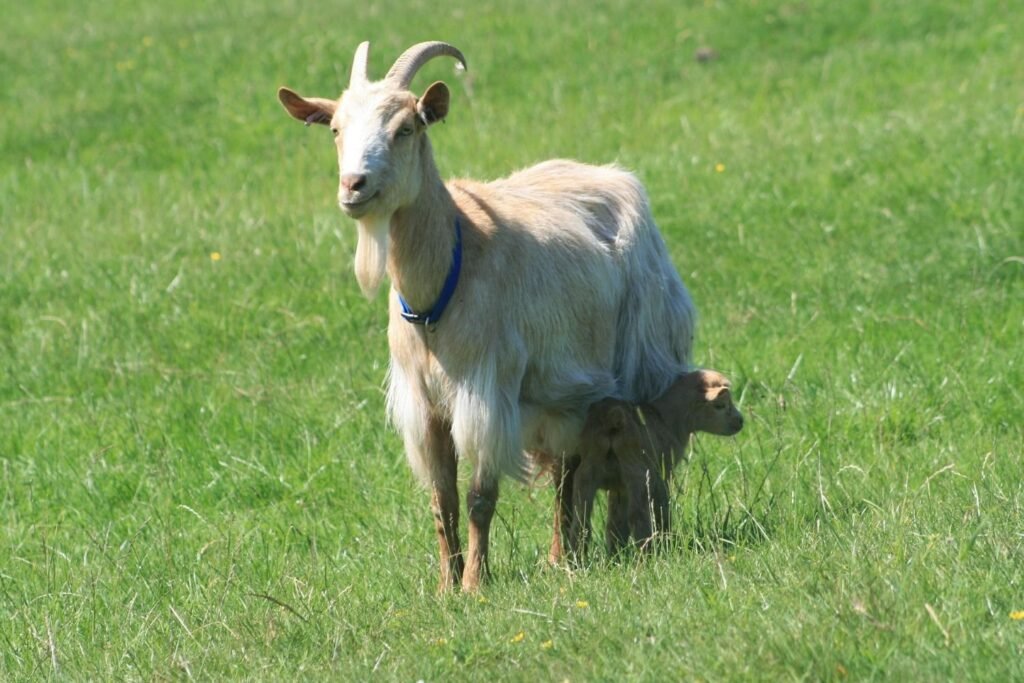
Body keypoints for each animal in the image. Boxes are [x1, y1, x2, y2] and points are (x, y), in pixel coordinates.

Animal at [277, 41, 696, 591]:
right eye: (335, 129)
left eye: (406, 128)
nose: (354, 186)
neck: (440, 288)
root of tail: (611, 174)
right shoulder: (424, 405)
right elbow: (443, 502)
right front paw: (445, 587)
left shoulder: (487, 392)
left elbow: (480, 498)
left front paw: (476, 584)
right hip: (560, 392)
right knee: (567, 467)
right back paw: (560, 557)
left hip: (631, 360)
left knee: (597, 462)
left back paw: (586, 552)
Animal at [569, 369, 743, 560]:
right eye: (720, 405)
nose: (740, 422)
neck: (666, 420)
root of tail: (612, 418)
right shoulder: (662, 475)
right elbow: (661, 508)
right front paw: (666, 540)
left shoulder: (619, 487)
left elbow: (615, 522)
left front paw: (616, 555)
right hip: (637, 474)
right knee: (637, 516)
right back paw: (648, 555)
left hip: (586, 473)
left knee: (581, 521)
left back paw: (576, 559)